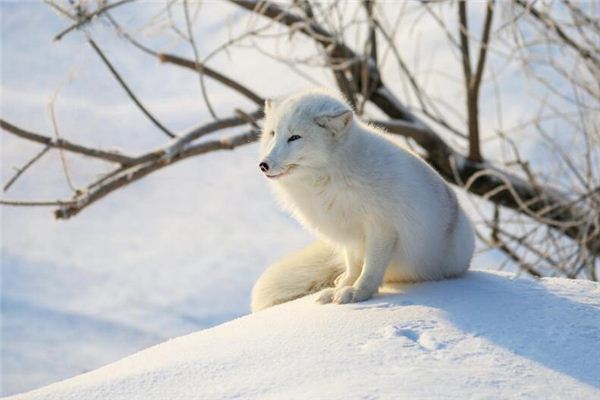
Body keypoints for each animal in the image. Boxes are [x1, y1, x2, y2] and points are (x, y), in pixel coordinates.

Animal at [252, 88, 474, 312]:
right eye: (273, 133)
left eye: (295, 137)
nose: (264, 165)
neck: (332, 176)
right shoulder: (349, 233)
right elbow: (354, 266)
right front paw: (343, 287)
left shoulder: (382, 227)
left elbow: (371, 268)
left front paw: (357, 292)